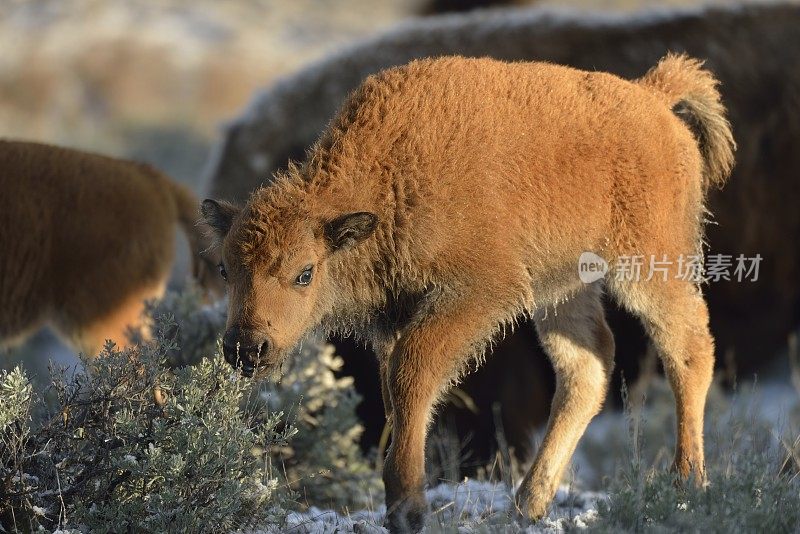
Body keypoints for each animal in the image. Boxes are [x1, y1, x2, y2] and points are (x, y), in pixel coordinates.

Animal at [203, 54, 736, 532]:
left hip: (649, 267)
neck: (389, 177)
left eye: (304, 273)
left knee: (688, 350)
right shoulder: (398, 319)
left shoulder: (477, 293)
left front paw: (408, 509)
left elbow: (412, 375)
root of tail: (653, 97)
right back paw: (527, 504)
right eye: (226, 269)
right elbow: (399, 393)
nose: (247, 348)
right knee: (588, 366)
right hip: (563, 289)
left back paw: (686, 483)